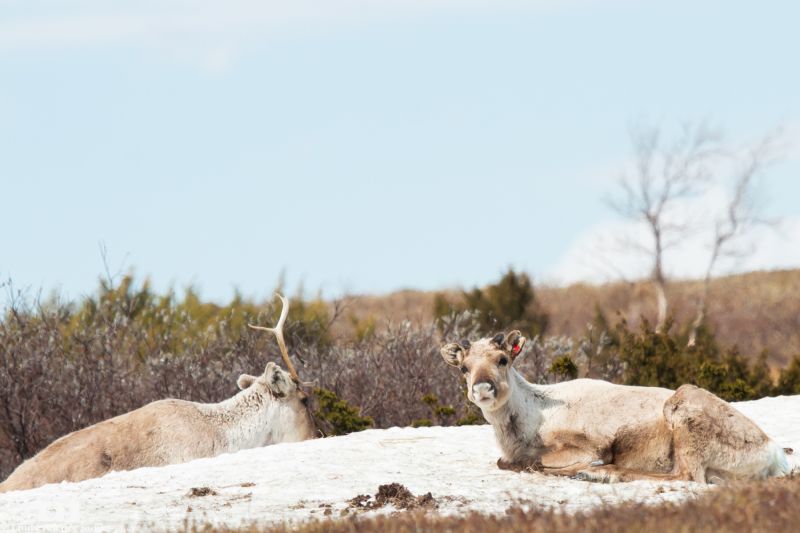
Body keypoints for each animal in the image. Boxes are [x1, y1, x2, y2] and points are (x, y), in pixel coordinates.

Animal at [440, 330, 791, 483]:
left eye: (502, 359)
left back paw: (602, 473)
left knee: (687, 476)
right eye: (464, 368)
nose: (482, 388)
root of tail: (773, 453)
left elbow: (526, 462)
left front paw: (584, 469)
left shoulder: (588, 446)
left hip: (683, 411)